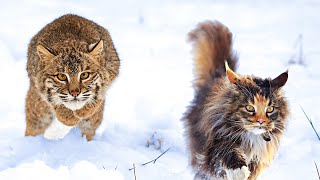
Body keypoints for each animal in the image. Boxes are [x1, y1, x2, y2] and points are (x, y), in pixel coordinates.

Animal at [182, 20, 290, 179]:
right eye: (249, 108)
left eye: (270, 109)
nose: (261, 121)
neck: (251, 137)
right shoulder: (217, 142)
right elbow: (228, 153)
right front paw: (239, 171)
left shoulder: (258, 158)